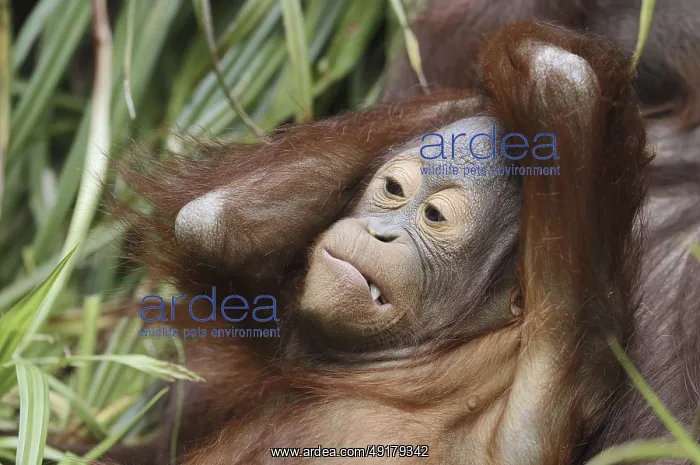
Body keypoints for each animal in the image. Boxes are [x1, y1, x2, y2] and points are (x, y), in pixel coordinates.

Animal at [100, 18, 667, 465]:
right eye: (394, 190)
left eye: (435, 216)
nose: (382, 232)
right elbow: (208, 221)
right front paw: (480, 98)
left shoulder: (561, 363)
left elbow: (565, 81)